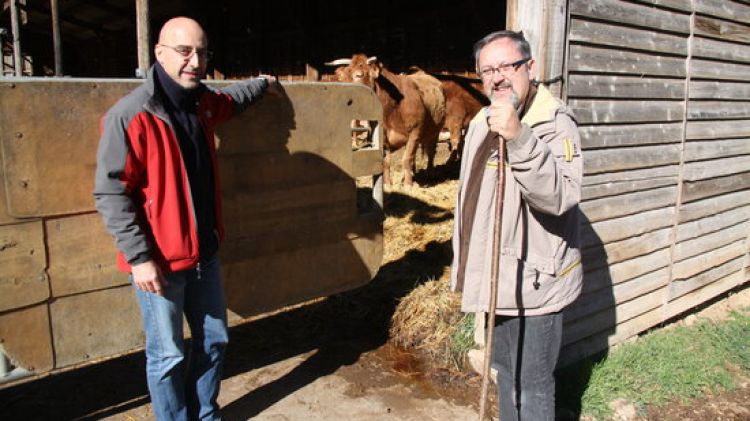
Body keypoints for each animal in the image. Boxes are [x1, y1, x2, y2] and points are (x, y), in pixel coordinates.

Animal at [328, 54, 446, 187]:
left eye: (359, 75)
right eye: (342, 78)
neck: (393, 108)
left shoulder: (415, 132)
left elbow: (406, 159)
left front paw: (408, 185)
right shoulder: (383, 137)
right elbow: (386, 161)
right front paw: (387, 184)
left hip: (435, 132)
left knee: (430, 152)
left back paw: (429, 174)